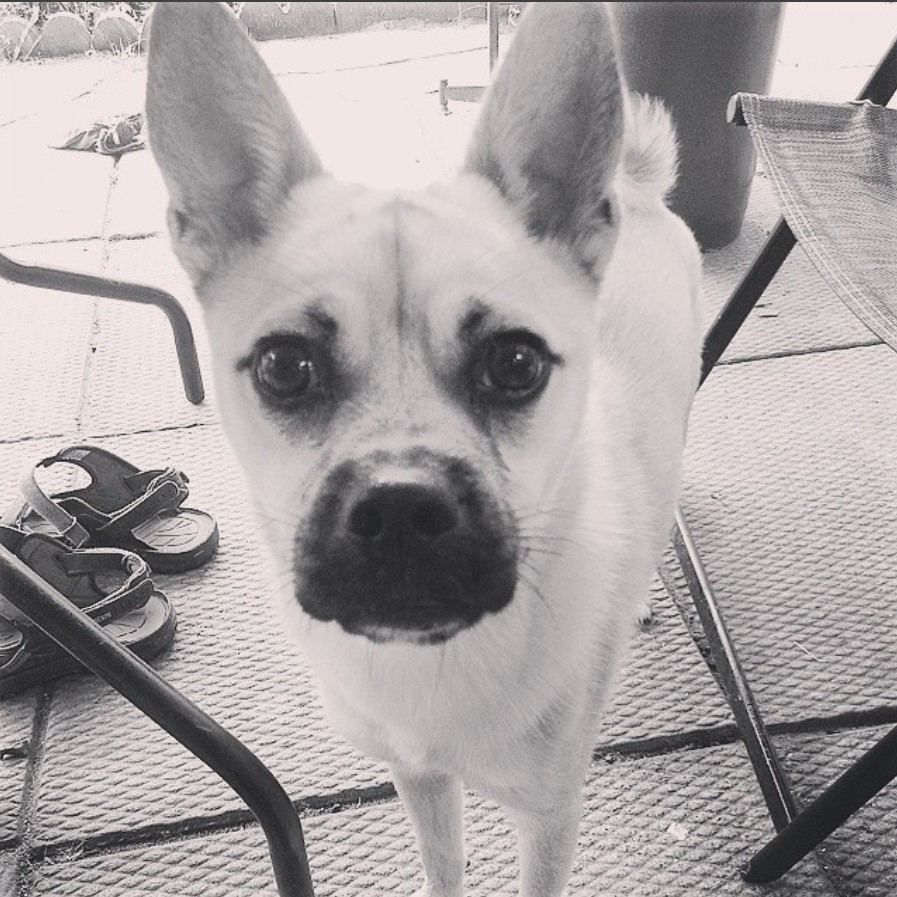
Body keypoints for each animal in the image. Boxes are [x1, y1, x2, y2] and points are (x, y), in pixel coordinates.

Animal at [147, 3, 704, 892]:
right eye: (282, 366)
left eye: (516, 364)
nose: (401, 506)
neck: (434, 663)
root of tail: (634, 188)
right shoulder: (420, 779)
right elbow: (443, 864)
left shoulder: (550, 818)